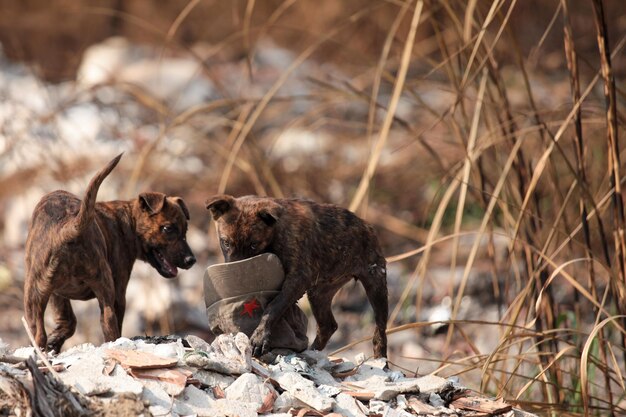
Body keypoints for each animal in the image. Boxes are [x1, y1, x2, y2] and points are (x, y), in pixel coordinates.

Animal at [24, 153, 195, 352]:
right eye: (167, 229)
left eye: (185, 231)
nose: (191, 260)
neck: (128, 221)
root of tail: (68, 228)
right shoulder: (119, 292)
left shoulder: (56, 293)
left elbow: (68, 321)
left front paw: (55, 341)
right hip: (105, 292)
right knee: (110, 326)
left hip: (35, 297)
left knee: (38, 334)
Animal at [205, 193, 386, 356]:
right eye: (226, 243)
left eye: (253, 245)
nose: (234, 273)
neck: (276, 231)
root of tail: (368, 227)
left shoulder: (298, 279)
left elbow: (274, 306)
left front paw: (260, 336)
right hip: (319, 294)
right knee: (327, 326)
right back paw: (312, 351)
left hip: (376, 285)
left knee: (380, 332)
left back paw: (381, 359)